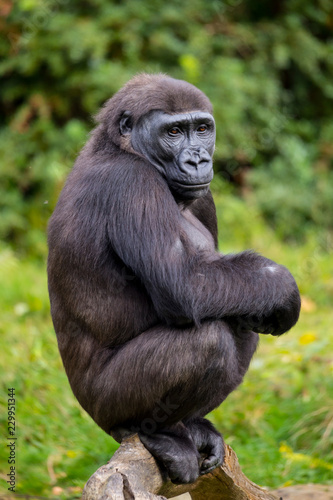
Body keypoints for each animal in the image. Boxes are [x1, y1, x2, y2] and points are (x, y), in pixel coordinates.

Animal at [47, 74, 300, 484]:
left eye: (202, 129)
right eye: (174, 132)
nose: (198, 159)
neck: (120, 146)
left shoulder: (203, 197)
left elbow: (226, 285)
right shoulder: (131, 182)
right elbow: (185, 284)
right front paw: (282, 286)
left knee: (240, 322)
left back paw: (191, 426)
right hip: (101, 407)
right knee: (209, 340)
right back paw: (156, 432)